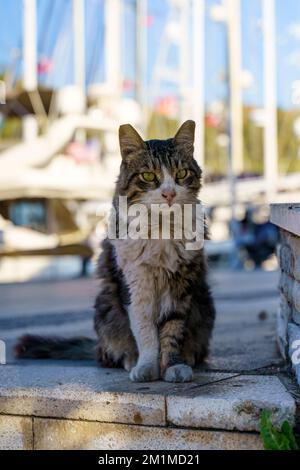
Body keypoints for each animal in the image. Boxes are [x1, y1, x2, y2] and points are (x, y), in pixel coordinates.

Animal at [14, 120, 216, 382]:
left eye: (181, 174)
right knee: (111, 351)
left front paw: (173, 365)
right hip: (106, 307)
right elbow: (145, 331)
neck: (160, 228)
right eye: (149, 176)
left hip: (204, 304)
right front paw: (147, 367)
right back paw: (130, 359)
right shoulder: (134, 282)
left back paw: (189, 356)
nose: (169, 194)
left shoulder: (182, 284)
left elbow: (172, 330)